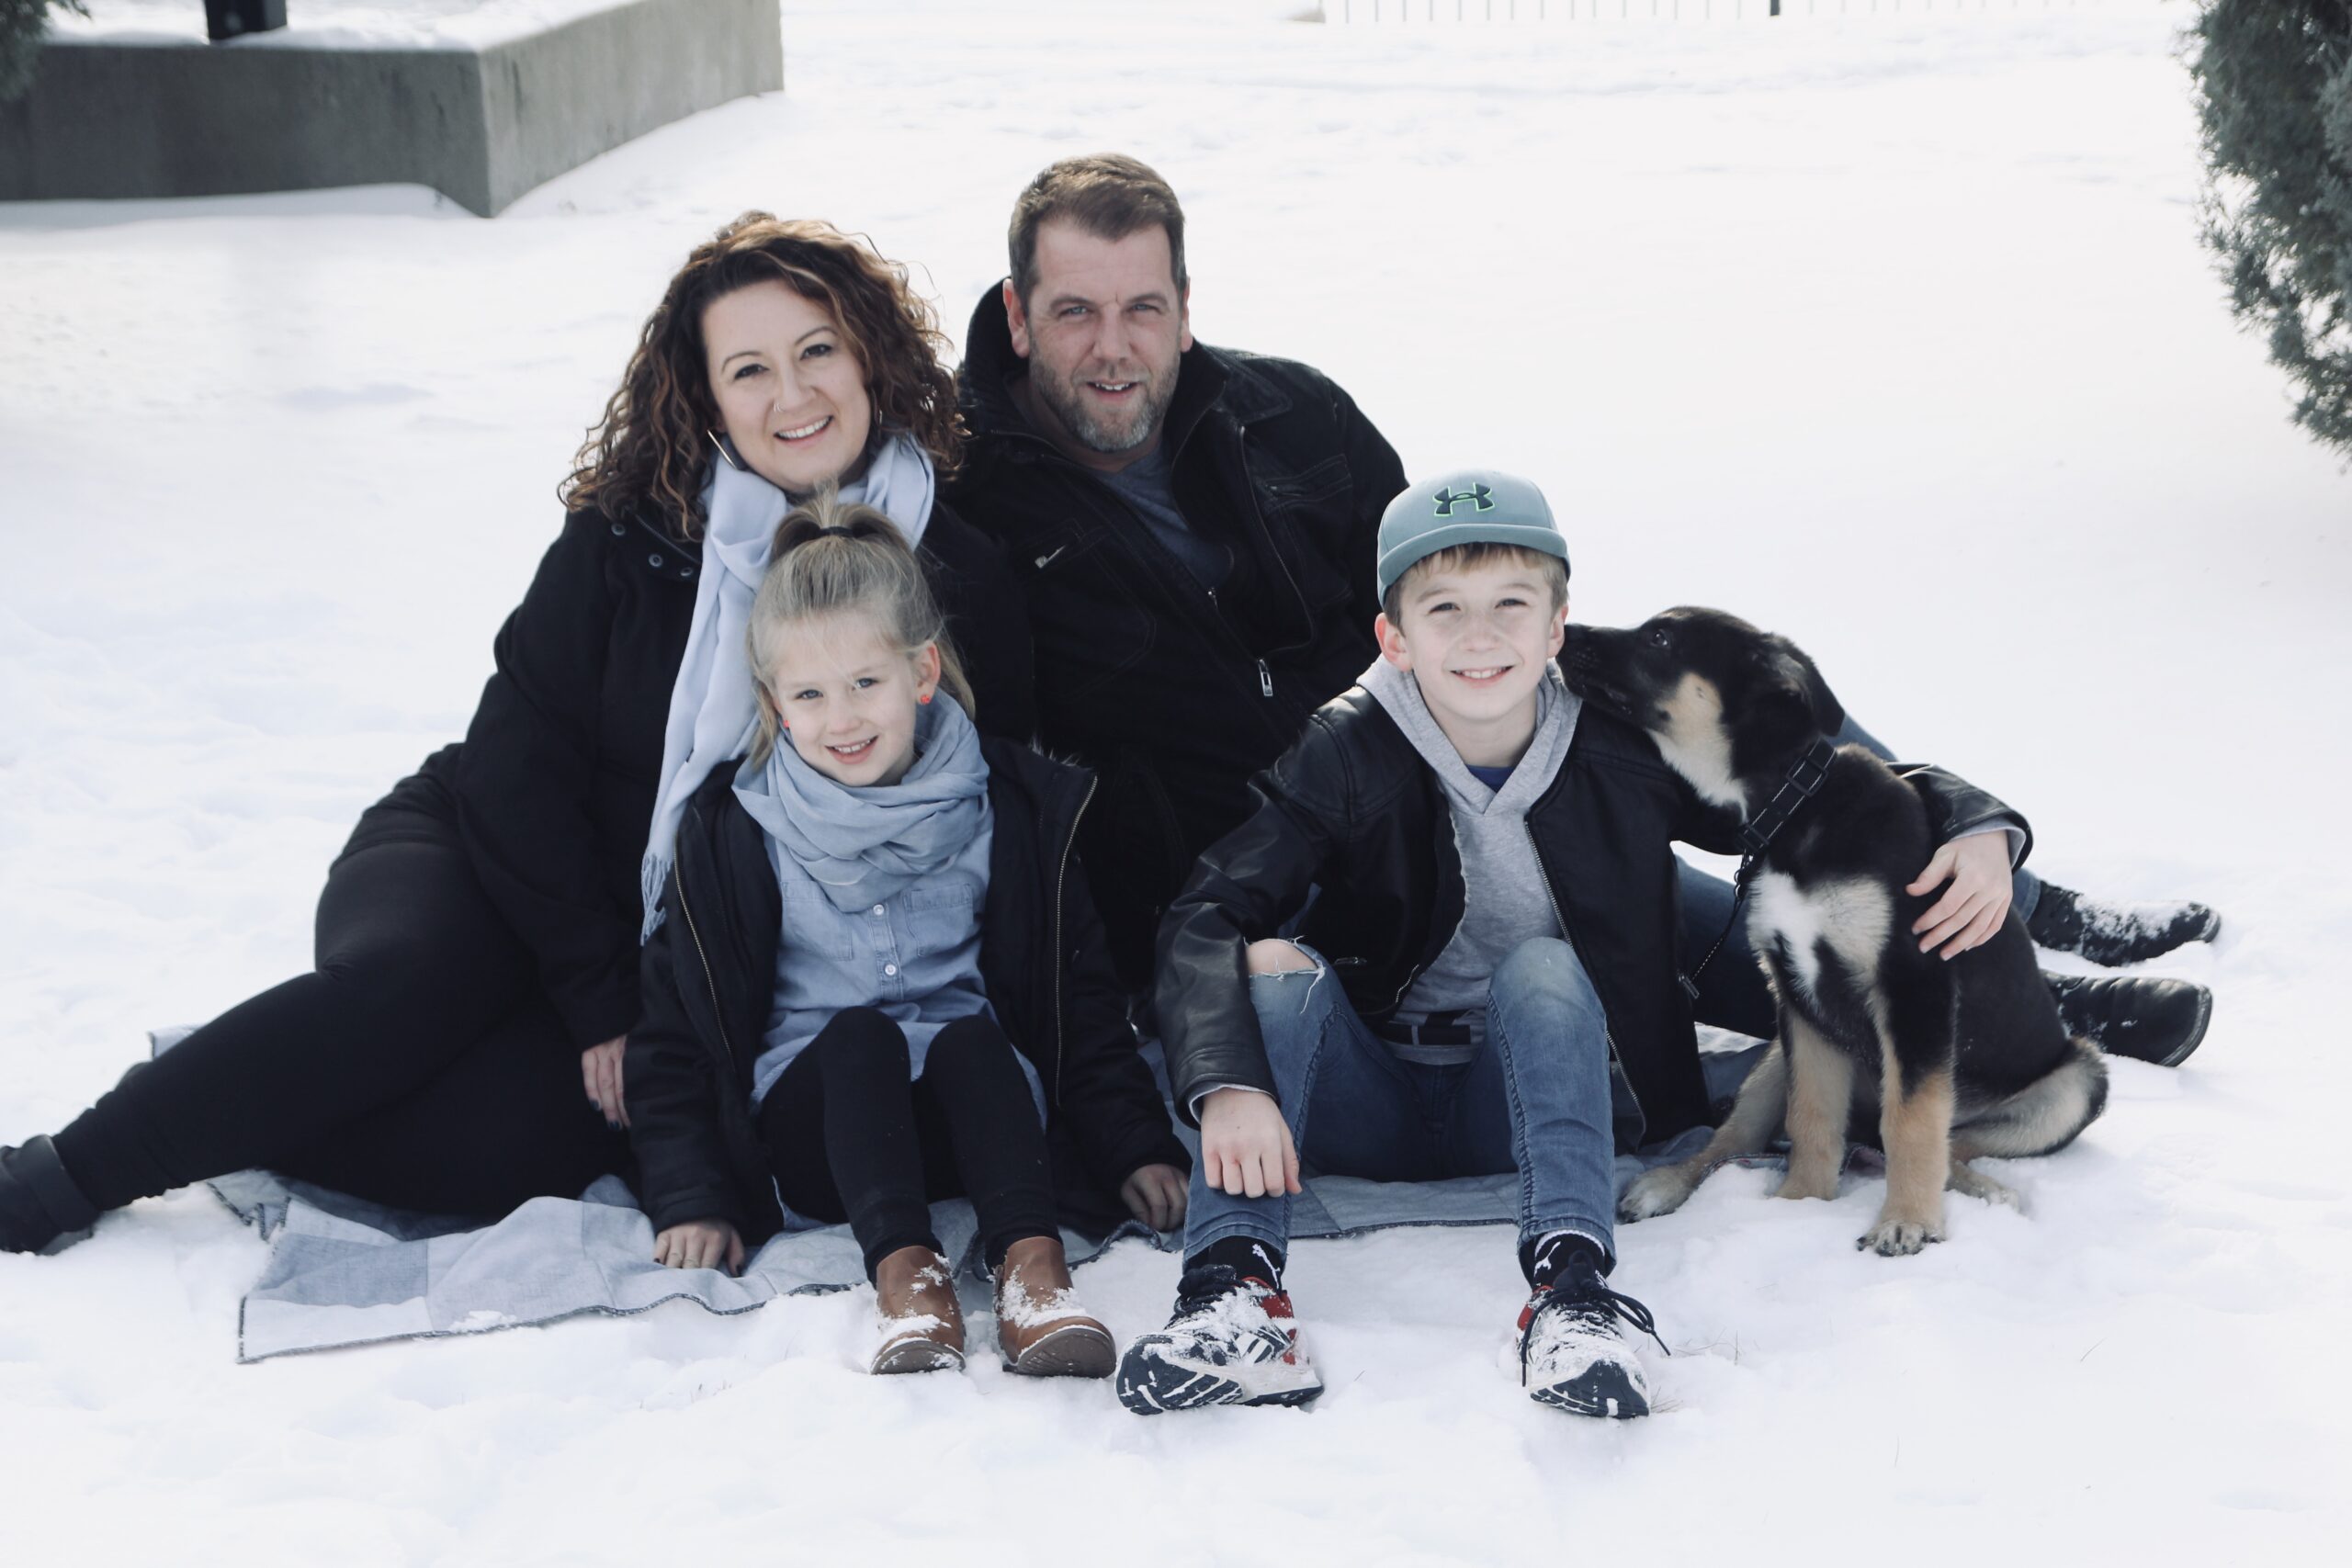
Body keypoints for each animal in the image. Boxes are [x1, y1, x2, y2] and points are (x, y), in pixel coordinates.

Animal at [1571, 606, 2107, 1259]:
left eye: (1660, 637)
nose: (1566, 634)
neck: (1793, 809)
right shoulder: (1799, 996)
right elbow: (1812, 1117)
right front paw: (1799, 1205)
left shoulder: (1913, 984)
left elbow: (1911, 1120)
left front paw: (1906, 1221)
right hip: (1775, 1058)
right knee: (1732, 1138)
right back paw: (1667, 1182)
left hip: (2077, 1082)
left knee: (1950, 1141)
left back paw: (1982, 1189)